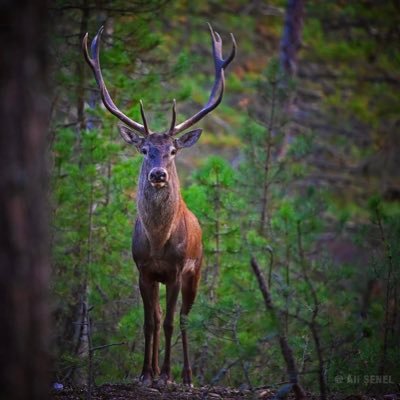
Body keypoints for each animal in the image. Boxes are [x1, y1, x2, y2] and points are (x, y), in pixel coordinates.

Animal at [83, 23, 236, 386]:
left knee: (183, 318)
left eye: (173, 151)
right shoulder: (143, 270)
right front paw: (146, 372)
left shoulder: (177, 270)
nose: (158, 174)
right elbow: (149, 321)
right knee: (160, 315)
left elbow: (168, 322)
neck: (157, 241)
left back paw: (187, 375)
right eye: (144, 150)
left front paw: (166, 374)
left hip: (197, 270)